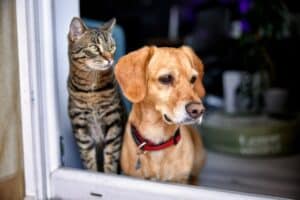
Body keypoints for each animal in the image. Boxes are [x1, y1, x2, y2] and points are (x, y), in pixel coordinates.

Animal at [67, 17, 125, 173]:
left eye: (111, 47)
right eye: (94, 47)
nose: (110, 59)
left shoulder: (113, 120)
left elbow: (111, 156)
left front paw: (109, 175)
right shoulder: (80, 125)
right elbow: (88, 158)